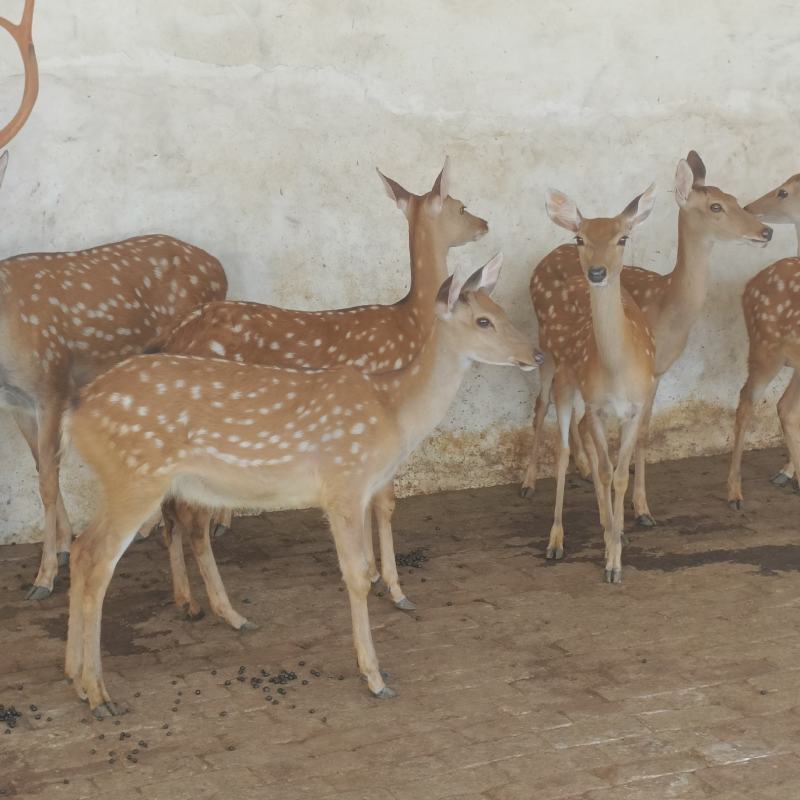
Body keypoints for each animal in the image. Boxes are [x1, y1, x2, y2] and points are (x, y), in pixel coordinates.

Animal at [0, 0, 228, 600]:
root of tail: (218, 265)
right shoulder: (14, 398)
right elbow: (39, 470)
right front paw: (60, 546)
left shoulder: (52, 379)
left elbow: (49, 475)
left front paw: (44, 577)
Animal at [63, 253, 541, 716]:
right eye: (483, 320)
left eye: (502, 309)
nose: (535, 354)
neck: (393, 410)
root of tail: (77, 408)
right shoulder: (344, 482)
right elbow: (356, 576)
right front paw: (375, 677)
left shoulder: (361, 489)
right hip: (136, 474)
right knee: (97, 557)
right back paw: (100, 694)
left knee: (85, 547)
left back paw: (77, 679)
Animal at [151, 158, 488, 625]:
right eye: (460, 205)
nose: (485, 224)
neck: (412, 322)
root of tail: (173, 338)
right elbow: (385, 504)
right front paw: (395, 587)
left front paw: (374, 574)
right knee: (187, 513)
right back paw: (226, 611)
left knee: (169, 509)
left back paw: (187, 601)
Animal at [521, 152, 773, 529]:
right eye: (716, 206)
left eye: (734, 199)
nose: (765, 230)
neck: (667, 310)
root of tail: (541, 261)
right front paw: (634, 509)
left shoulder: (657, 373)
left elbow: (642, 432)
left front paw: (637, 508)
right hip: (545, 342)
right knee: (542, 404)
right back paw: (528, 482)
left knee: (576, 414)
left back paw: (583, 468)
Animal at [530, 185, 657, 583]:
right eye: (580, 238)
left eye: (622, 237)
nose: (597, 272)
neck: (617, 371)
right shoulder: (599, 407)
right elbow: (604, 470)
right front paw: (611, 558)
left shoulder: (636, 407)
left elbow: (619, 476)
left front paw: (615, 553)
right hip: (560, 372)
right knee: (562, 447)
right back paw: (555, 540)